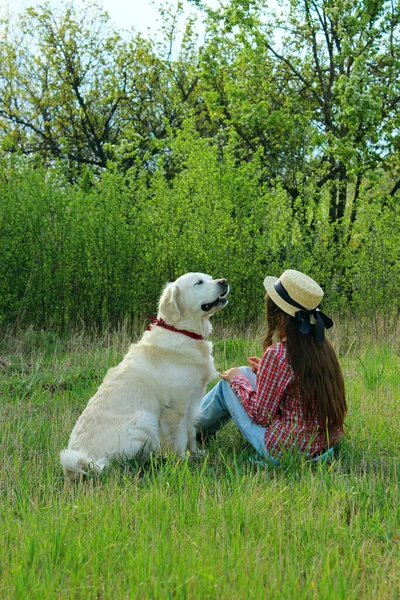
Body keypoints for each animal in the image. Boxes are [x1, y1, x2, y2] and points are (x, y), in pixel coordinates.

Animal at [59, 274, 228, 480]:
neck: (182, 331)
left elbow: (191, 433)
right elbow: (180, 438)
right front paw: (182, 462)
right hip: (144, 419)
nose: (224, 281)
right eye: (199, 283)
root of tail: (78, 462)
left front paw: (196, 454)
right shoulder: (175, 407)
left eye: (210, 278)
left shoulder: (191, 402)